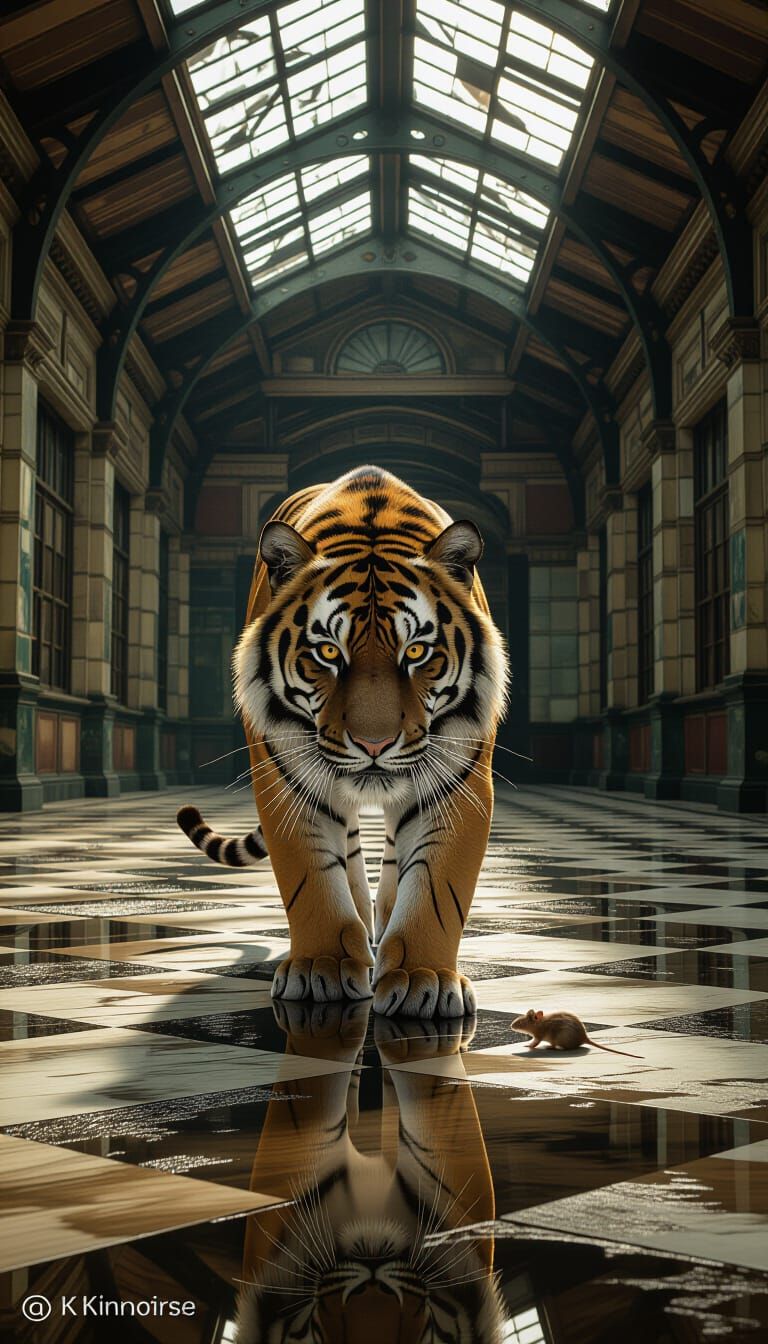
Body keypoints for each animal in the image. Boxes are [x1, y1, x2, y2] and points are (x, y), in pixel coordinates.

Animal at [178, 465, 509, 1017]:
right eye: (328, 652)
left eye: (416, 651)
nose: (374, 744)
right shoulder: (284, 775)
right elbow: (310, 876)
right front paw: (323, 969)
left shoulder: (459, 780)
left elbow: (437, 888)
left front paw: (423, 979)